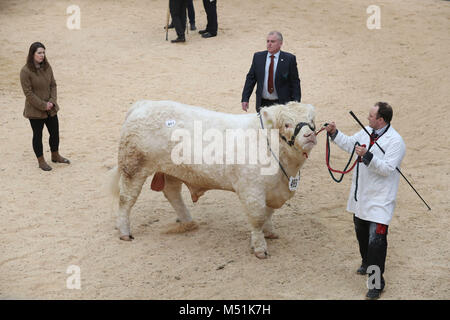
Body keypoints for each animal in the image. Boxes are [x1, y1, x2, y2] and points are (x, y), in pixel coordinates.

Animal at [108, 101, 316, 258]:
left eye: (311, 121)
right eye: (287, 124)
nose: (309, 135)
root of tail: (142, 105)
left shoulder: (274, 191)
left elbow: (268, 214)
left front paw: (270, 232)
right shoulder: (251, 191)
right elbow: (257, 218)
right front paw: (260, 248)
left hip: (172, 170)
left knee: (172, 192)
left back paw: (188, 222)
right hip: (133, 168)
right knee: (126, 200)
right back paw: (125, 232)